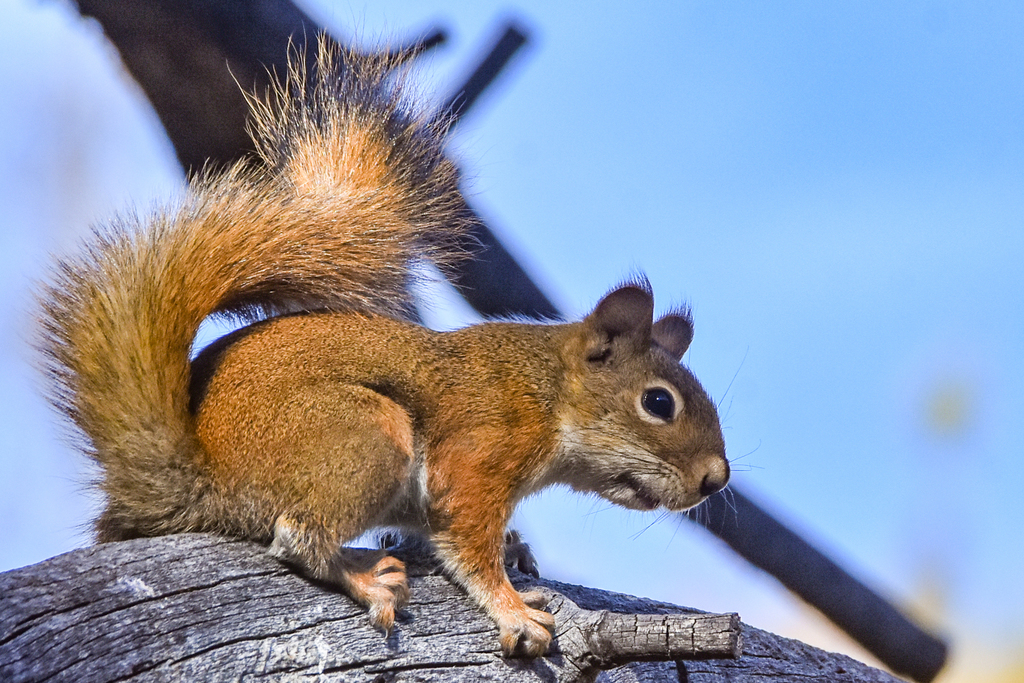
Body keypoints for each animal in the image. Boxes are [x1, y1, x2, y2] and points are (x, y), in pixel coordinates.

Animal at [37, 39, 729, 657]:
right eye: (659, 403)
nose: (714, 480)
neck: (544, 389)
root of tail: (198, 477)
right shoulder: (481, 449)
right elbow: (467, 539)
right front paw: (511, 608)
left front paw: (514, 550)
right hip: (365, 434)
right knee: (296, 537)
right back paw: (366, 579)